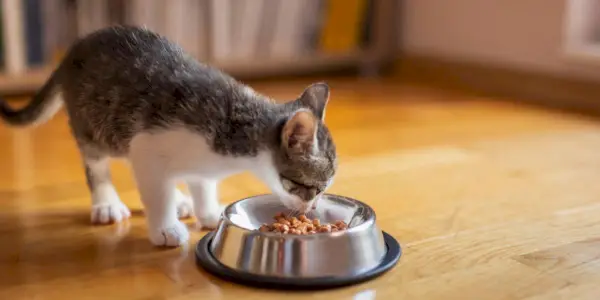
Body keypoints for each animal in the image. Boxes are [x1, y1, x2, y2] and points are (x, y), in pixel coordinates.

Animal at [0, 25, 338, 246]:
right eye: (313, 188)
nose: (312, 210)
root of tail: (74, 49)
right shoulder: (148, 142)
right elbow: (154, 189)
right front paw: (165, 229)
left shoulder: (191, 159)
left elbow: (201, 182)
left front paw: (207, 211)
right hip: (95, 124)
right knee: (97, 163)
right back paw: (106, 203)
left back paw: (179, 199)